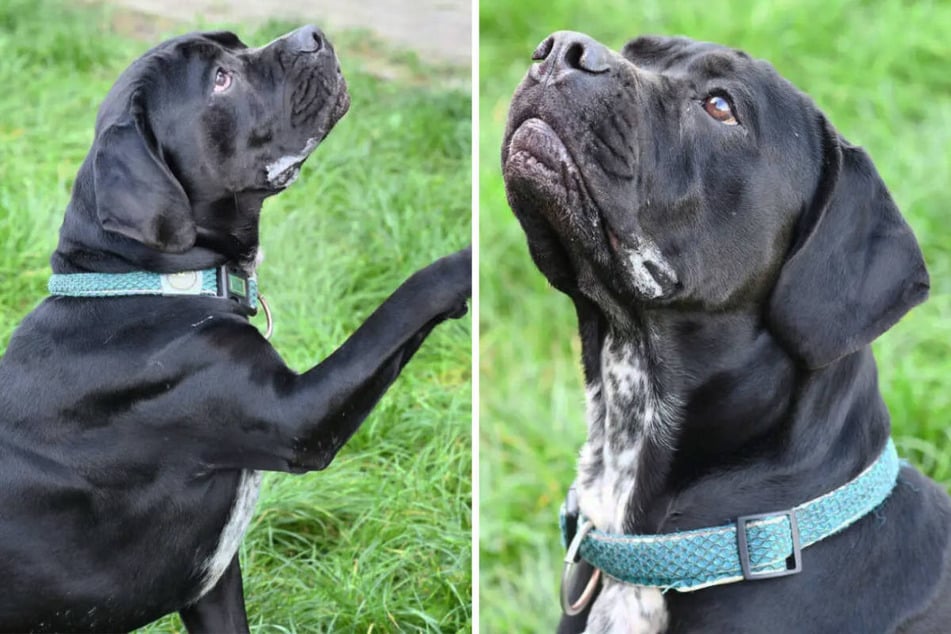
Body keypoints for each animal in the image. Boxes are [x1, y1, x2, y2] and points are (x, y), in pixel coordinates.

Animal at [0, 25, 470, 632]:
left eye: (236, 43)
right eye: (220, 80)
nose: (312, 35)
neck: (141, 279)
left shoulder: (213, 582)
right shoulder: (298, 416)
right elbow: (404, 302)